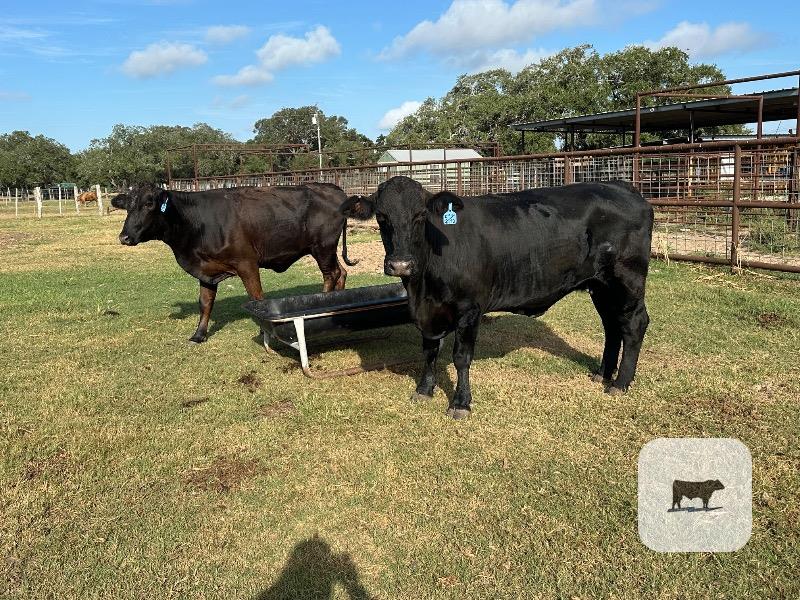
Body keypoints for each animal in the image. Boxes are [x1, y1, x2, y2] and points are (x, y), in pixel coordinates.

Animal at [112, 183, 356, 343]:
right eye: (127, 206)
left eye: (149, 204)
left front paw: (263, 330)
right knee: (341, 272)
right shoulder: (206, 270)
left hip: (322, 247)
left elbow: (256, 297)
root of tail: (333, 187)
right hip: (326, 250)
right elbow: (205, 303)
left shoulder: (247, 263)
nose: (124, 237)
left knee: (330, 275)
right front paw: (199, 335)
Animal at [340, 176, 653, 419]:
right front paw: (424, 390)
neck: (422, 285)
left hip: (627, 280)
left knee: (633, 325)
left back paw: (620, 383)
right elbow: (429, 351)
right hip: (600, 285)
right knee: (612, 326)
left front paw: (461, 403)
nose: (401, 265)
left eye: (419, 217)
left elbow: (461, 357)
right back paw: (603, 374)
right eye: (382, 218)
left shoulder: (469, 309)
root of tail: (623, 187)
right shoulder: (427, 312)